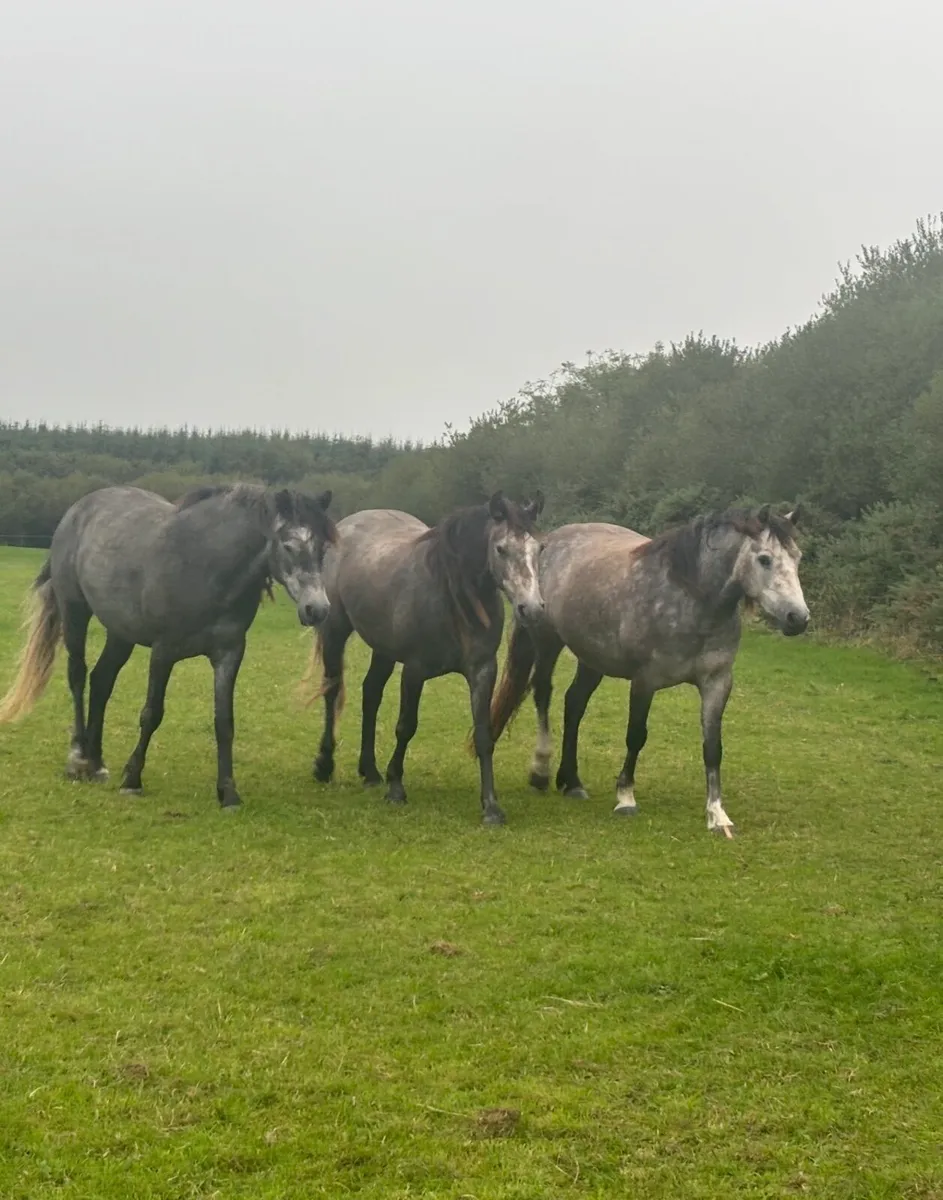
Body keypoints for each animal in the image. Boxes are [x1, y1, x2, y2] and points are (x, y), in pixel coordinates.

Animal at [0, 483, 335, 808]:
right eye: (289, 545)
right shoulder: (164, 652)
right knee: (78, 676)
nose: (317, 609)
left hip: (120, 633)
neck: (205, 567)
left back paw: (96, 762)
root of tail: (78, 510)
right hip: (74, 613)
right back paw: (78, 760)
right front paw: (132, 780)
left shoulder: (228, 655)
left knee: (101, 681)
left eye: (323, 548)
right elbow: (151, 714)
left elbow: (224, 722)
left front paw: (228, 793)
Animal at [311, 491, 545, 825]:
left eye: (539, 548)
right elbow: (406, 726)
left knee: (371, 694)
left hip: (383, 649)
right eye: (501, 548)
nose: (532, 609)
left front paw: (491, 806)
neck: (453, 597)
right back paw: (324, 764)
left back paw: (370, 772)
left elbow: (484, 734)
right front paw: (396, 788)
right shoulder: (414, 670)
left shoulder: (483, 671)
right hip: (335, 632)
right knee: (332, 691)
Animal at [488, 505, 809, 836]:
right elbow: (636, 735)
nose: (798, 618)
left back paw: (572, 782)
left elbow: (712, 746)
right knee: (543, 694)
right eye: (765, 559)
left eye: (797, 557)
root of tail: (549, 541)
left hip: (592, 658)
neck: (691, 600)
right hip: (547, 642)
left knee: (574, 704)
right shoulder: (645, 681)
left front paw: (717, 815)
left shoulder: (717, 682)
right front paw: (626, 798)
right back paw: (540, 771)